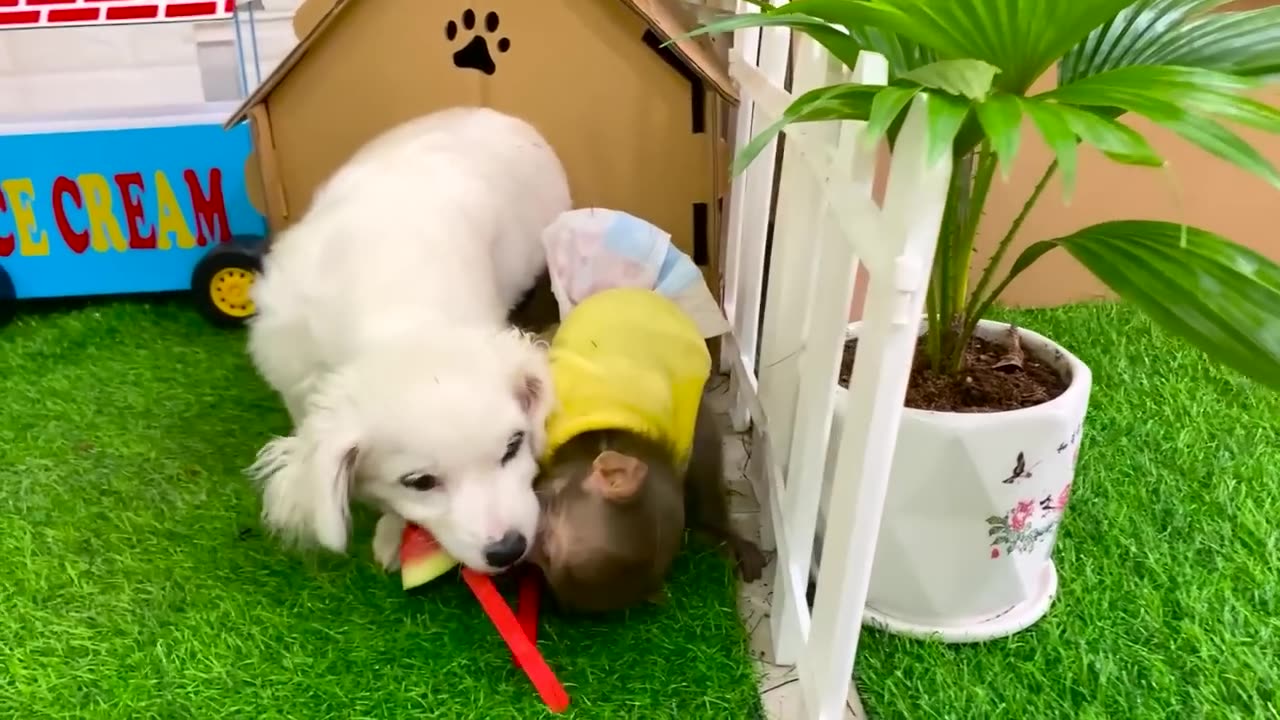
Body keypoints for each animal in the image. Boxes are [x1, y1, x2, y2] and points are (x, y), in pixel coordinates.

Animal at [243, 106, 570, 573]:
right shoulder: (293, 375)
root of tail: (494, 113)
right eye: (420, 482)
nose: (509, 550)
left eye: (514, 445)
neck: (399, 313)